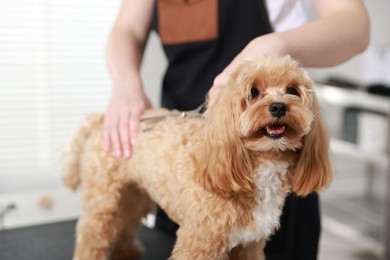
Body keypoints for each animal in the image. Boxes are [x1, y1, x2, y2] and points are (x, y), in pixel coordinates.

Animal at [61, 55, 332, 260]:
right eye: (254, 92)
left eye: (292, 91)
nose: (278, 107)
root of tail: (102, 121)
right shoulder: (199, 243)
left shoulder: (250, 245)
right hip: (103, 200)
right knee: (93, 234)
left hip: (135, 194)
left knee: (126, 221)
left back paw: (126, 250)